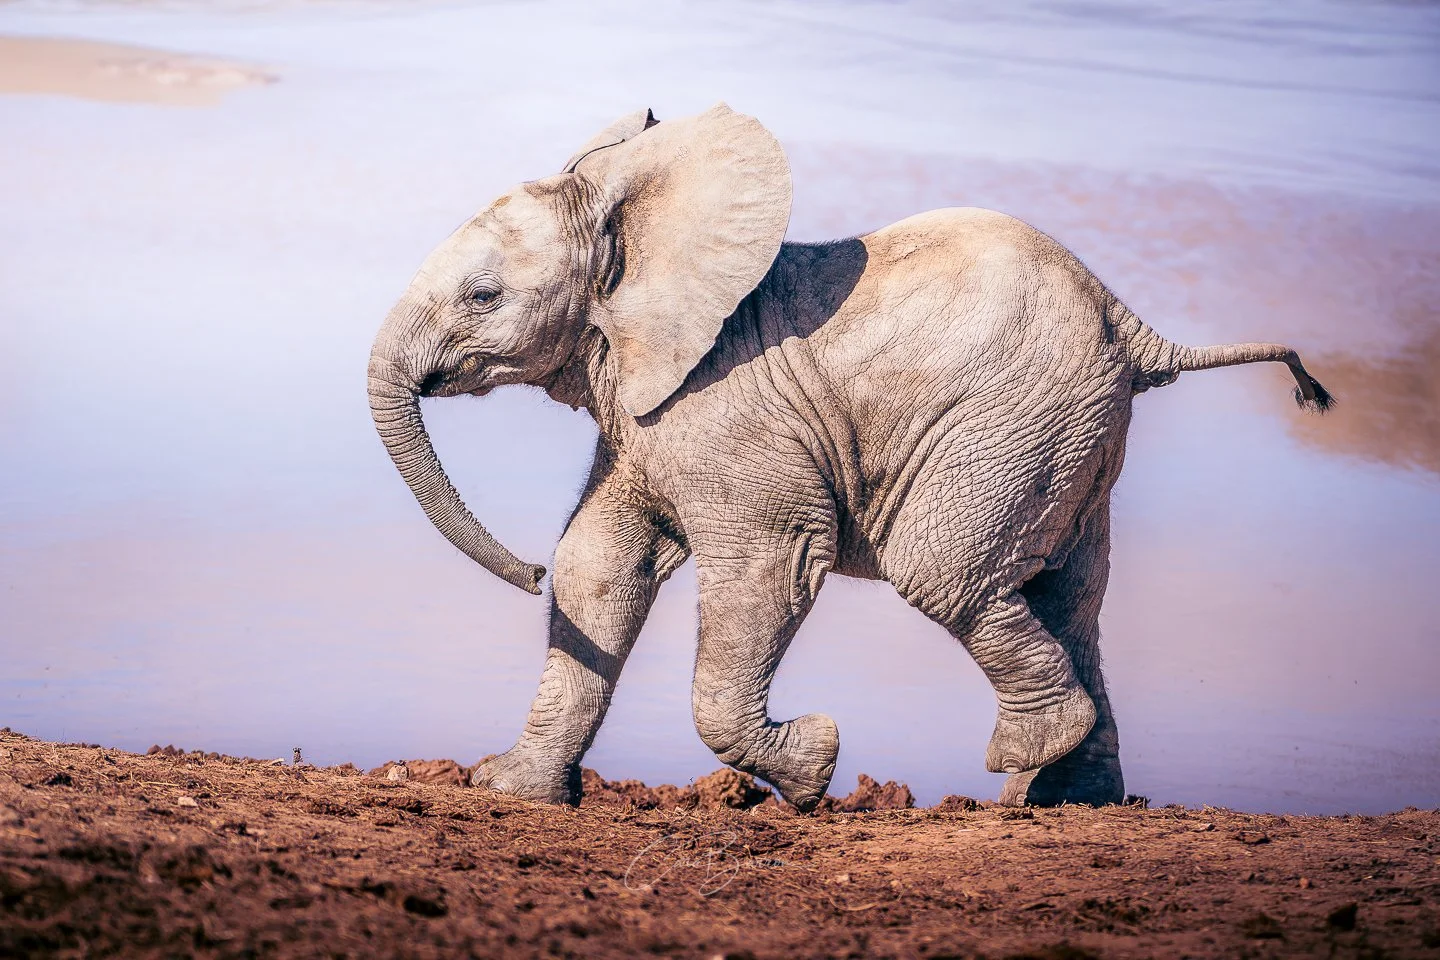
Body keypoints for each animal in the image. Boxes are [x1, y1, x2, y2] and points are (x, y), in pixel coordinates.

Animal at [367, 104, 1331, 811]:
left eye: (483, 296)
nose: (520, 569)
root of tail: (1131, 323)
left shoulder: (728, 420)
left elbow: (766, 565)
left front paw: (814, 767)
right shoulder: (647, 421)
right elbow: (599, 568)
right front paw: (512, 791)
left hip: (1010, 425)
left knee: (945, 572)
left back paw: (1027, 758)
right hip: (1074, 436)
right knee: (1069, 596)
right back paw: (1066, 798)